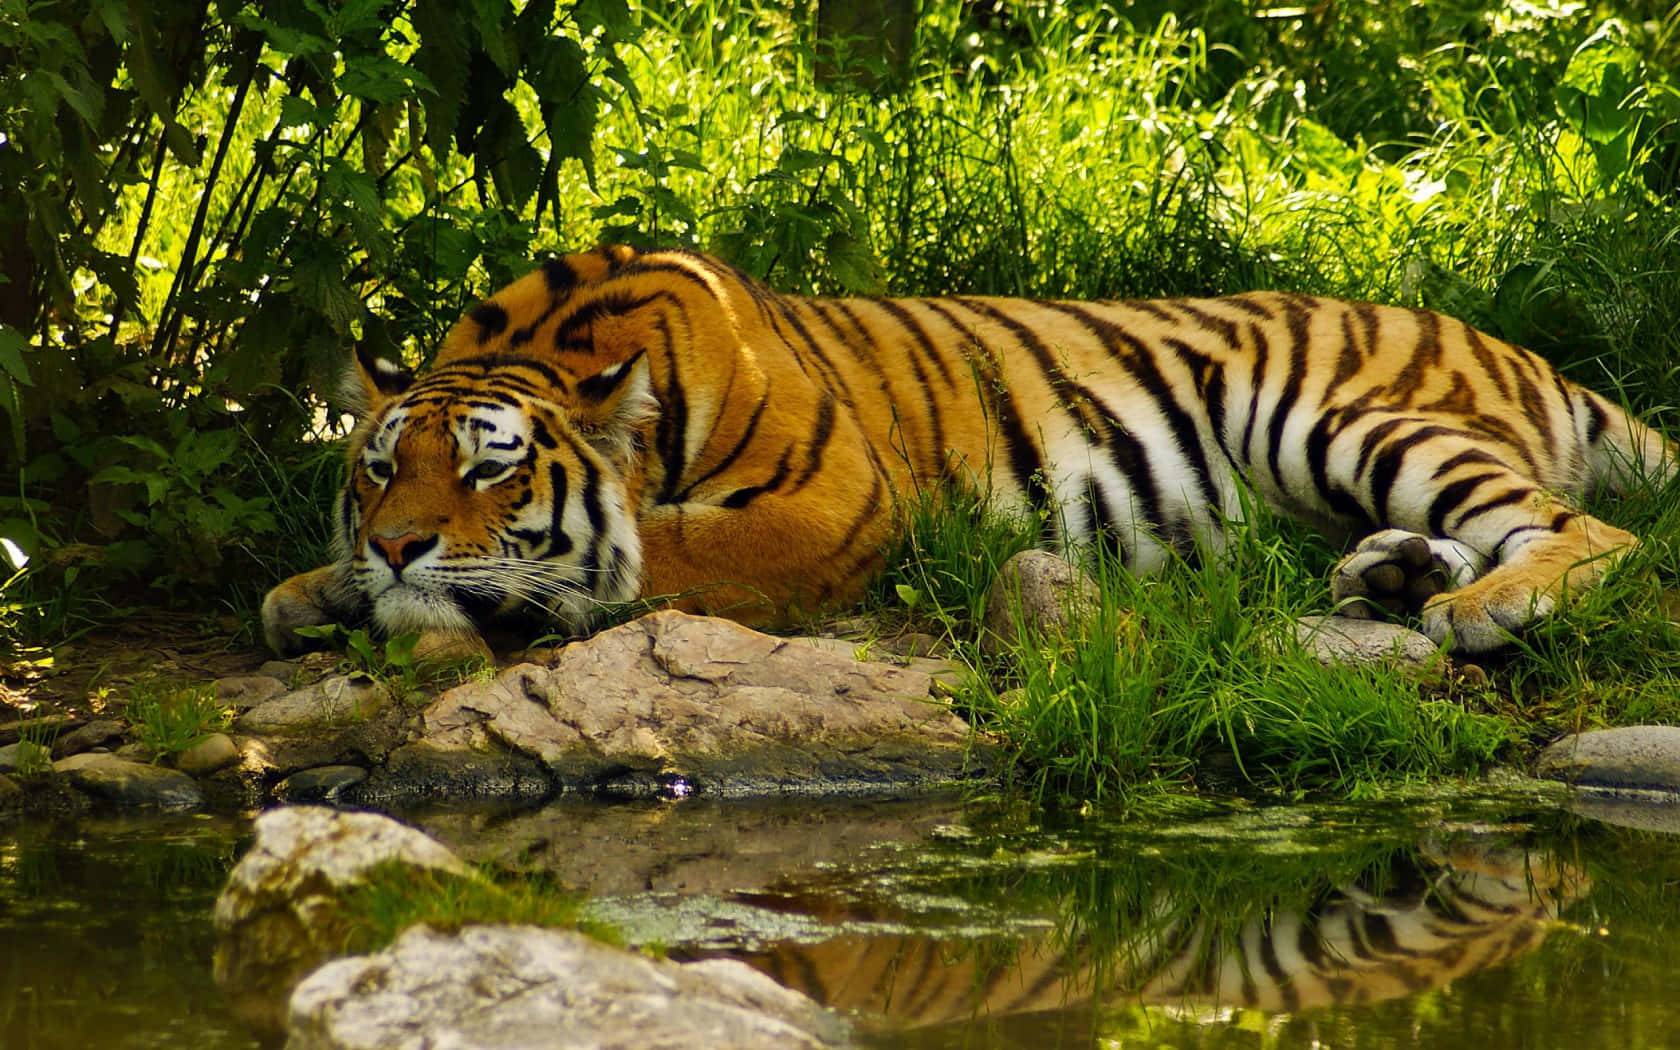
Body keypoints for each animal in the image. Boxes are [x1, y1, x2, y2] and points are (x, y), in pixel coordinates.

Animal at [261, 244, 1674, 658]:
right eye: (380, 467)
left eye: (492, 469)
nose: (398, 545)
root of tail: (1512, 346)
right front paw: (315, 589)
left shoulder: (831, 505)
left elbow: (652, 553)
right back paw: (1394, 577)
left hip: (1340, 415)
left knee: (1592, 531)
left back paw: (1481, 609)